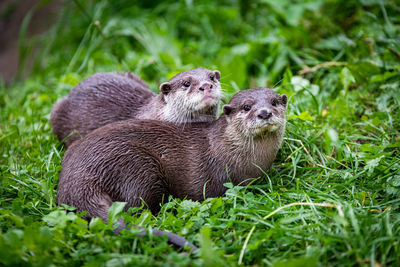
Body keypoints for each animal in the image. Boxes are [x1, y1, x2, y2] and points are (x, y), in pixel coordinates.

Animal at [56, 88, 288, 251]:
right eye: (247, 107)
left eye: (274, 102)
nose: (264, 113)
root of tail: (76, 178)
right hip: (136, 166)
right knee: (133, 207)